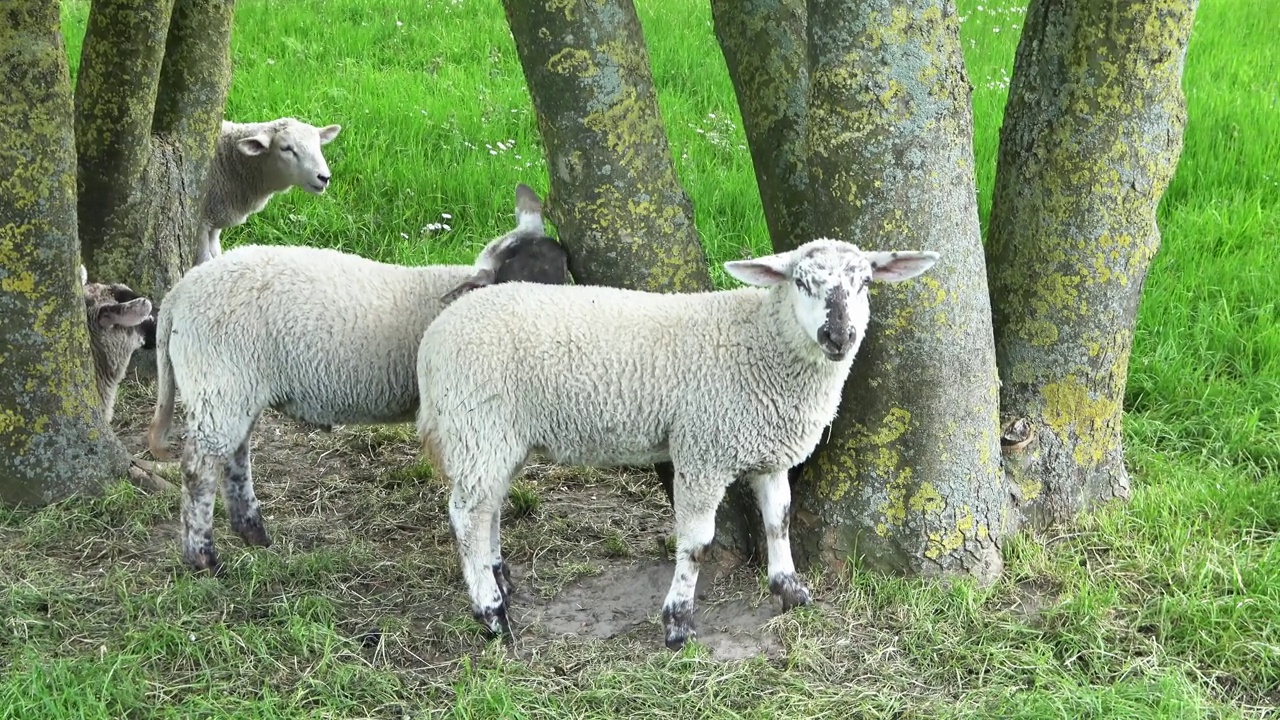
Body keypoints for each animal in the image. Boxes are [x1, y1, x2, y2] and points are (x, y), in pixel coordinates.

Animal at [148, 183, 570, 571]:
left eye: (563, 268)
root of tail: (179, 294)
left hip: (233, 388)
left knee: (234, 456)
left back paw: (253, 532)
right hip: (219, 380)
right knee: (198, 470)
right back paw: (203, 557)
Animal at [197, 116, 343, 265]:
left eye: (318, 146)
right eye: (286, 148)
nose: (324, 177)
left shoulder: (215, 221)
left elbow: (216, 254)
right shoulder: (201, 225)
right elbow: (204, 260)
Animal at [412, 238, 942, 648]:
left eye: (865, 283)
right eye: (801, 282)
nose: (838, 335)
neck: (762, 345)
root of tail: (435, 336)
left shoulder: (770, 452)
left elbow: (779, 521)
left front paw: (791, 591)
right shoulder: (704, 450)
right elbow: (697, 543)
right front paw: (679, 622)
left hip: (498, 437)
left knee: (489, 507)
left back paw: (500, 580)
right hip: (478, 424)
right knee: (466, 515)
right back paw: (491, 613)